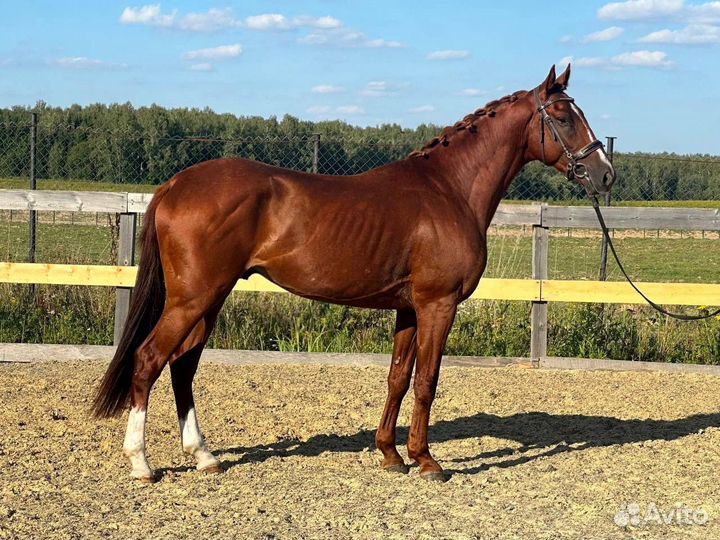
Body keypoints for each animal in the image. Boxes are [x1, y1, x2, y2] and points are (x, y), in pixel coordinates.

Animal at [93, 64, 615, 483]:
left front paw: (390, 454)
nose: (605, 173)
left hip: (209, 299)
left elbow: (398, 378)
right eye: (563, 116)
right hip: (192, 298)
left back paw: (204, 456)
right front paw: (427, 461)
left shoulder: (409, 309)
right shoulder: (437, 305)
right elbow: (427, 380)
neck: (449, 190)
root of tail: (175, 183)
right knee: (149, 359)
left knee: (182, 365)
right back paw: (142, 463)